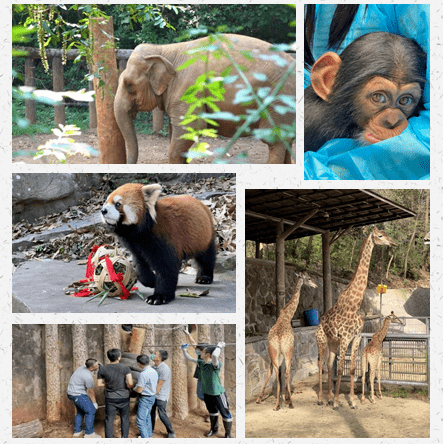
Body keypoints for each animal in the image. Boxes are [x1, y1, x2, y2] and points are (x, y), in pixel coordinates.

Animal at [114, 33, 296, 164]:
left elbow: (189, 130)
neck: (164, 50)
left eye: (129, 85)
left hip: (279, 100)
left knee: (275, 142)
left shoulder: (188, 91)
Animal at [256, 272, 320, 412]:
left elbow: (272, 372)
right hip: (287, 352)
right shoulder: (290, 351)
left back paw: (275, 404)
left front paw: (262, 398)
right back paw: (289, 402)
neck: (286, 316)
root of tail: (279, 339)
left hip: (274, 352)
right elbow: (286, 373)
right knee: (286, 372)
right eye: (309, 278)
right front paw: (286, 398)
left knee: (275, 372)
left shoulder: (274, 355)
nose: (316, 285)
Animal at [314, 227, 398, 412]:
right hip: (321, 340)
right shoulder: (345, 337)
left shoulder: (357, 337)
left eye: (386, 233)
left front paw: (352, 401)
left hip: (333, 342)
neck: (354, 304)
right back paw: (322, 399)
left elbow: (352, 369)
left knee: (329, 364)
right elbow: (340, 371)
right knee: (321, 364)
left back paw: (328, 397)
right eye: (380, 235)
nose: (393, 242)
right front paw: (337, 402)